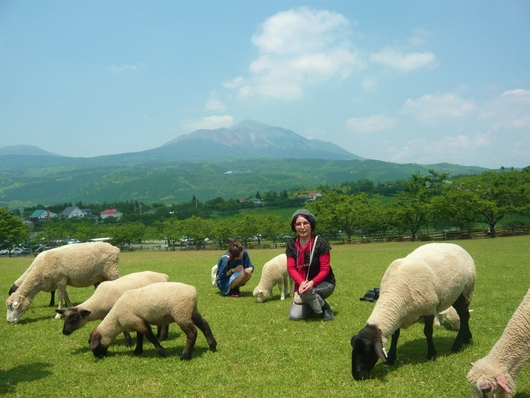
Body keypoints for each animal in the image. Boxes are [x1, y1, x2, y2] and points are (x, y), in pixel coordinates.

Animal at [88, 280, 217, 360]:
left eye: (93, 344)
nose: (97, 356)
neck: (116, 320)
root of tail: (193, 291)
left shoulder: (135, 320)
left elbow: (149, 336)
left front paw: (161, 353)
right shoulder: (137, 321)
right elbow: (140, 337)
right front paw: (137, 351)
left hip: (180, 313)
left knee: (192, 332)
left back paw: (185, 356)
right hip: (191, 311)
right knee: (204, 325)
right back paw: (213, 346)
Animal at [346, 241, 474, 380]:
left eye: (367, 350)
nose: (357, 375)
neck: (395, 294)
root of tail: (456, 245)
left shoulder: (428, 308)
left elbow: (428, 332)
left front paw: (431, 355)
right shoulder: (397, 315)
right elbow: (395, 335)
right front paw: (391, 357)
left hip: (465, 290)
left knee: (464, 316)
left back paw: (457, 345)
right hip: (456, 294)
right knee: (465, 315)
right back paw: (467, 338)